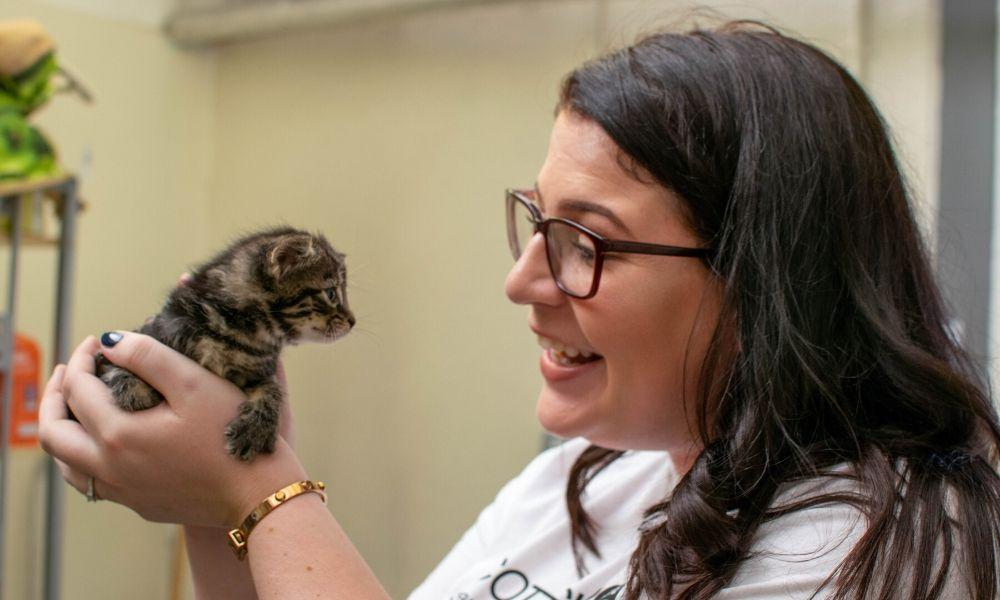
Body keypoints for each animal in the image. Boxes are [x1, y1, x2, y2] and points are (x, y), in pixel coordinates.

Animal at [96, 227, 356, 462]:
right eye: (331, 293)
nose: (353, 321)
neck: (240, 334)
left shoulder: (262, 370)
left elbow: (273, 391)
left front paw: (255, 432)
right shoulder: (157, 329)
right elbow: (115, 361)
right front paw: (134, 388)